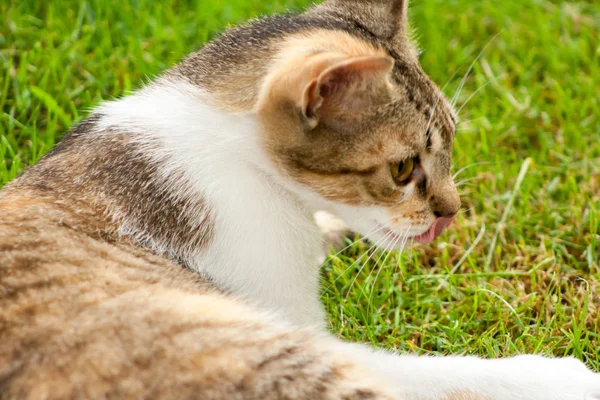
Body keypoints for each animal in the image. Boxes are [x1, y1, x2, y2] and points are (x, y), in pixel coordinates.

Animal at [1, 0, 600, 398]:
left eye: (452, 140)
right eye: (403, 169)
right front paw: (560, 374)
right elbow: (432, 372)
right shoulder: (289, 323)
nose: (452, 213)